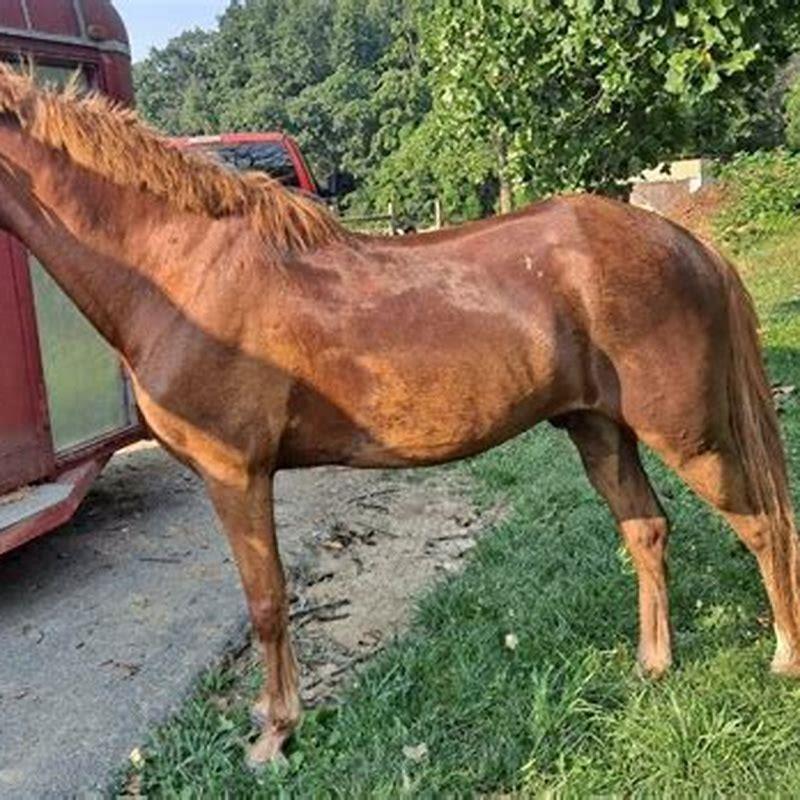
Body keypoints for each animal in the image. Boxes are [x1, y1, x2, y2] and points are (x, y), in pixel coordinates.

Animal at [0, 66, 797, 767]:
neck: (183, 270)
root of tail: (687, 243)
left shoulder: (236, 474)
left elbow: (267, 601)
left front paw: (275, 734)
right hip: (598, 429)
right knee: (647, 529)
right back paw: (652, 665)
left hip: (689, 433)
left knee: (761, 524)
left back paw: (784, 657)